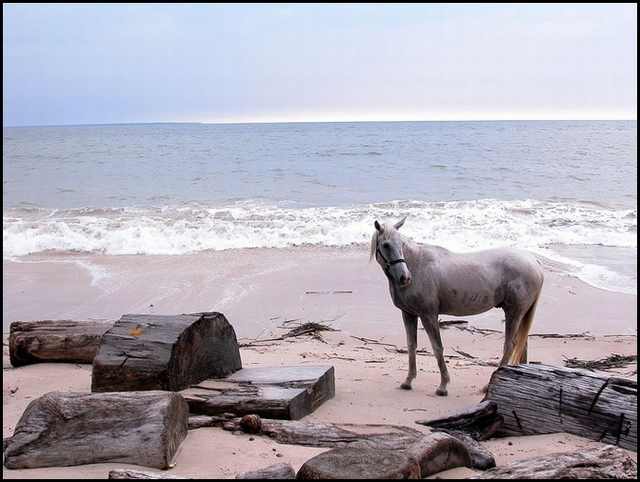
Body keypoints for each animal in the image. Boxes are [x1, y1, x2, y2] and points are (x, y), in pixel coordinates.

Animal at [370, 217, 544, 396]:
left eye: (401, 244)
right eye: (386, 245)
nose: (405, 277)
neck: (417, 264)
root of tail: (534, 261)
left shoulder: (428, 315)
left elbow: (437, 347)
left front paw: (443, 385)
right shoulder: (408, 314)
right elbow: (412, 346)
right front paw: (408, 381)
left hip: (513, 313)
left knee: (510, 346)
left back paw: (489, 386)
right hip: (520, 314)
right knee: (522, 347)